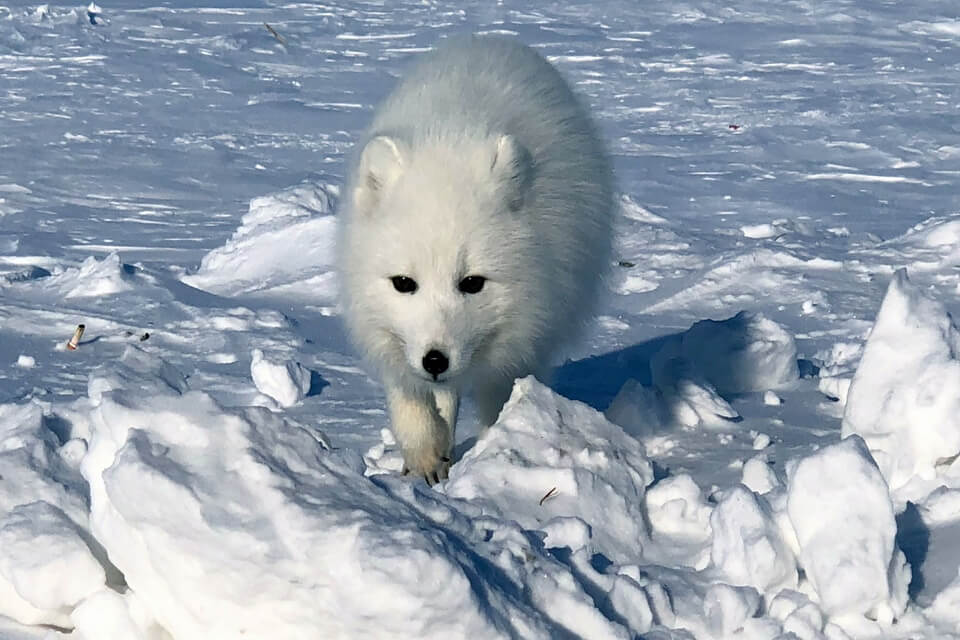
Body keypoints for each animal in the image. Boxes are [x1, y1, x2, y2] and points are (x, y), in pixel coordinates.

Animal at [338, 35, 616, 482]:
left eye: (472, 283)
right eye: (403, 283)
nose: (435, 360)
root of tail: (491, 39)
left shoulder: (521, 342)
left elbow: (497, 400)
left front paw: (496, 453)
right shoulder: (388, 335)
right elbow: (411, 404)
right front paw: (424, 462)